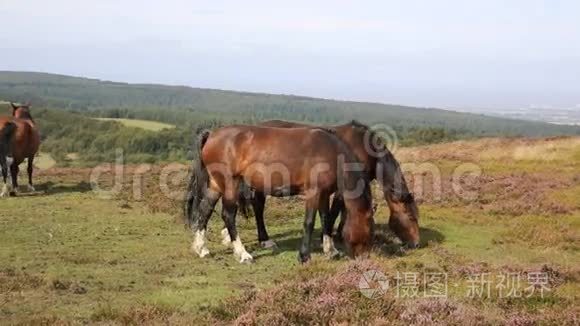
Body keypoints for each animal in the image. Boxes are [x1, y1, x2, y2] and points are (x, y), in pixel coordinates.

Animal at [186, 124, 376, 262]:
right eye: (369, 229)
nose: (365, 257)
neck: (330, 152)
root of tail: (211, 135)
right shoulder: (313, 192)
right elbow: (309, 222)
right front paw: (304, 255)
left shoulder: (323, 193)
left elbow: (326, 219)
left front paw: (330, 250)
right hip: (230, 183)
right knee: (228, 215)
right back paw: (243, 254)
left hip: (216, 184)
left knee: (205, 211)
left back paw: (201, 249)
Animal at [234, 119, 416, 250]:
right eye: (411, 216)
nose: (416, 244)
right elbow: (335, 211)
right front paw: (327, 237)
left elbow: (343, 211)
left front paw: (338, 234)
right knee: (258, 207)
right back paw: (265, 240)